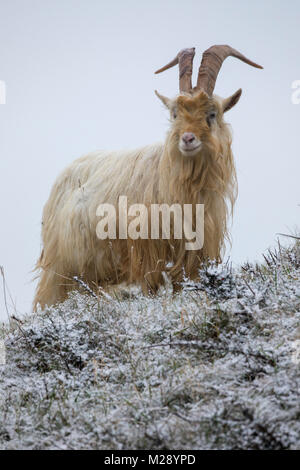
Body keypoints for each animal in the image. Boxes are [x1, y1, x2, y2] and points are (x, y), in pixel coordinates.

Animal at [33, 43, 262, 308]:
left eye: (212, 114)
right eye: (175, 114)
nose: (187, 138)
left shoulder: (194, 254)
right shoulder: (147, 255)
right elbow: (151, 289)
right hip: (61, 270)